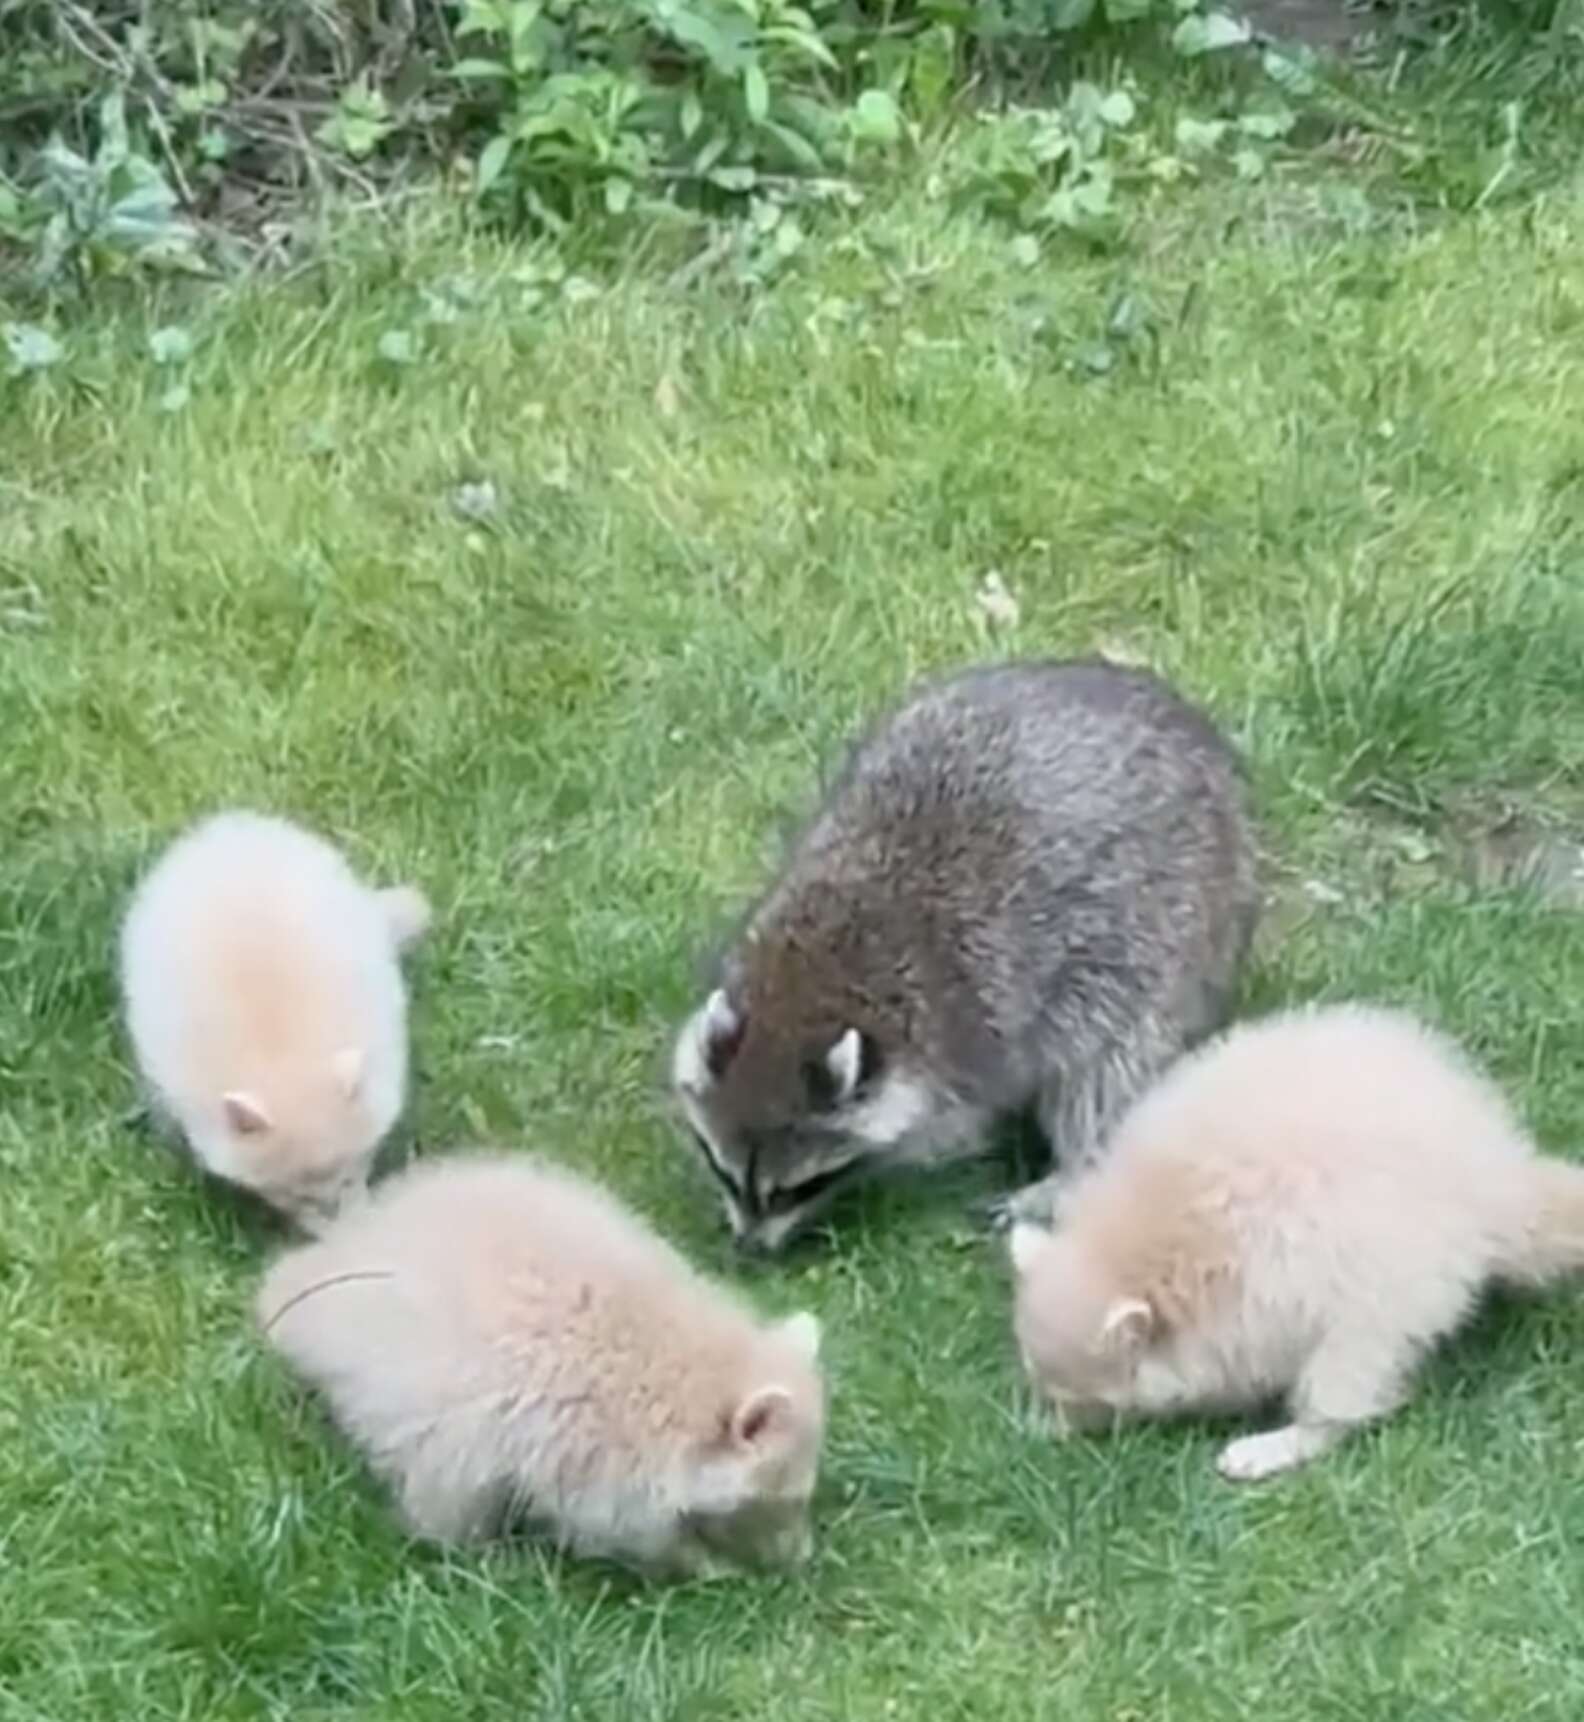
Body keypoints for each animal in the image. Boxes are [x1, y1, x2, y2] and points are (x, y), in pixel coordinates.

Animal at [672, 658, 1259, 1253]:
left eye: (795, 1188)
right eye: (722, 1168)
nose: (748, 1250)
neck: (812, 983)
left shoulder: (970, 1036)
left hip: (1171, 930)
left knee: (1108, 1064)